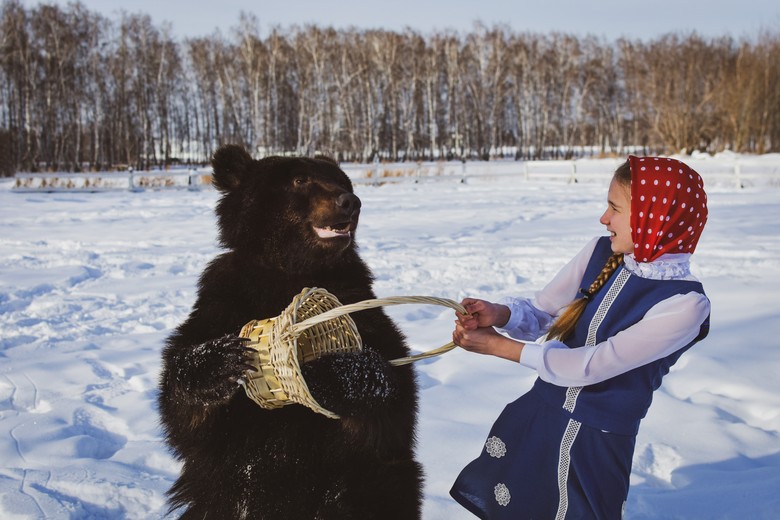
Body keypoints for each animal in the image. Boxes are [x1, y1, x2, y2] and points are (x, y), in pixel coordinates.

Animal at [157, 144, 420, 516]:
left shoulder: (359, 304)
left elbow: (392, 399)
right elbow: (183, 411)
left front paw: (327, 373)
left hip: (366, 488)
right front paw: (222, 360)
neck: (290, 274)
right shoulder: (222, 303)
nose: (350, 201)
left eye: (341, 180)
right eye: (299, 180)